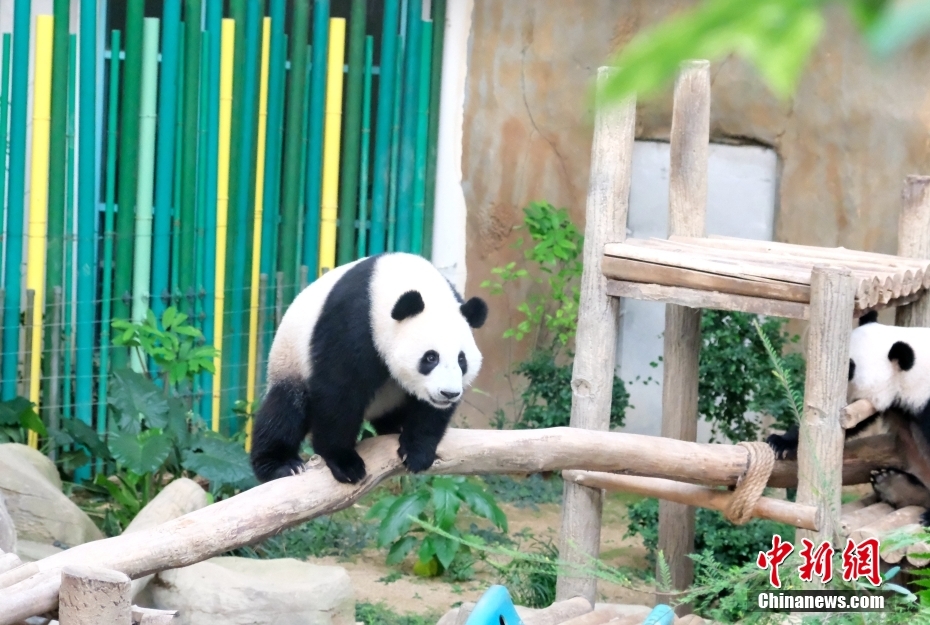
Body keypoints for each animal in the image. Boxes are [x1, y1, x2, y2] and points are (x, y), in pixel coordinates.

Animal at [250, 252, 490, 482]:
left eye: (462, 360)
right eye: (431, 358)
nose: (448, 393)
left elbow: (428, 411)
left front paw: (417, 452)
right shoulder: (353, 322)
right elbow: (339, 390)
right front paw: (345, 462)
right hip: (289, 361)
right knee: (284, 410)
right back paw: (281, 464)